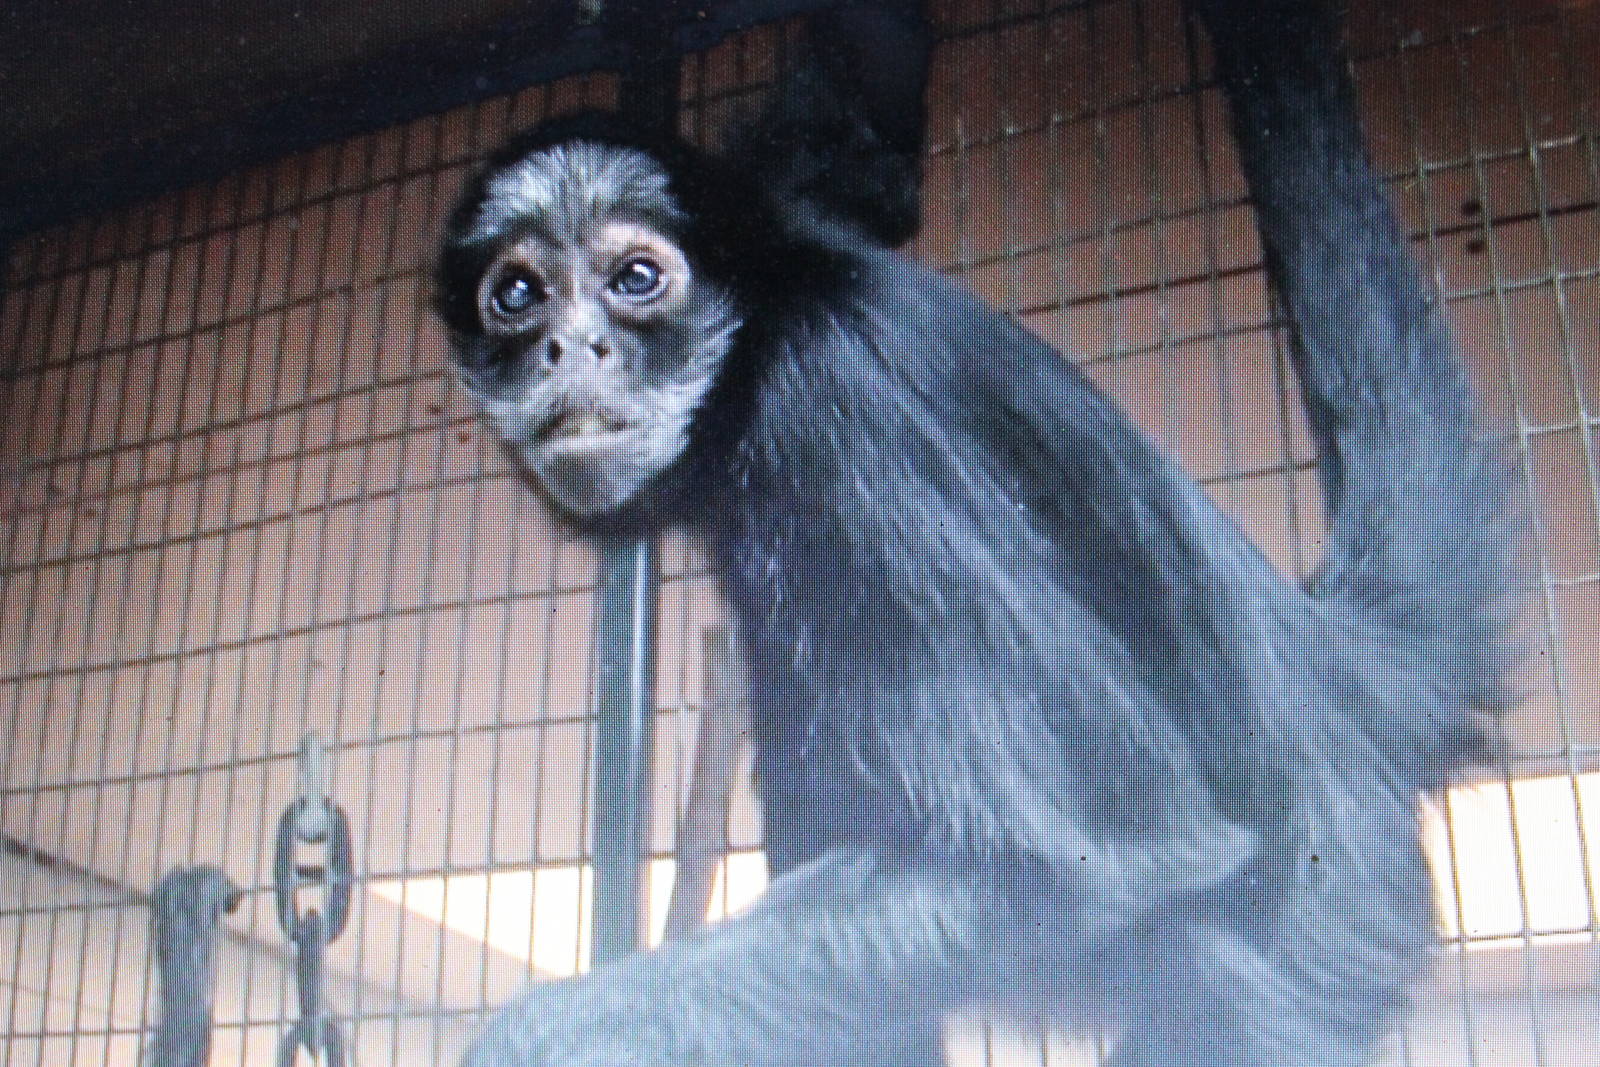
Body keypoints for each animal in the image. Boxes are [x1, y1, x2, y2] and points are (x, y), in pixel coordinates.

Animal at [431, 1, 1523, 1064]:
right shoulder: (784, 198)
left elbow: (1081, 863)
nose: (572, 345)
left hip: (1328, 903)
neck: (777, 322)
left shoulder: (840, 418)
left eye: (635, 278)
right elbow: (868, 144)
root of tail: (1319, 667)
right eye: (517, 293)